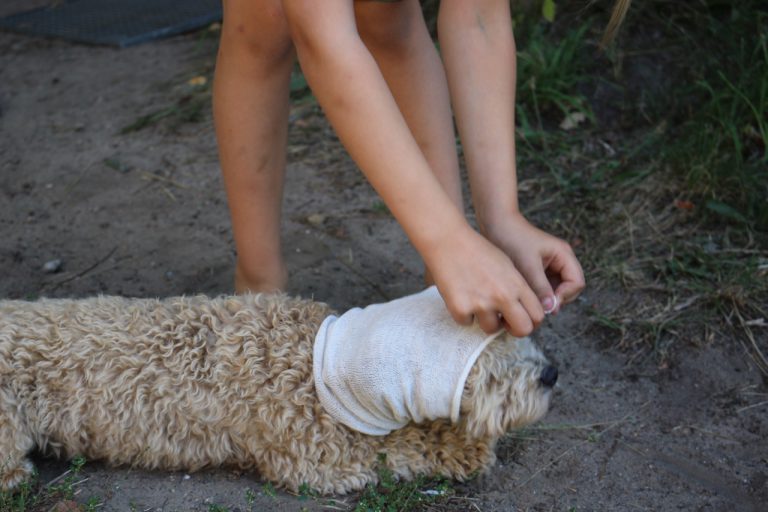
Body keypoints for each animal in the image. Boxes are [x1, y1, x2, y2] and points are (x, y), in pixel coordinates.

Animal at [0, 292, 556, 496]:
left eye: (516, 332)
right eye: (487, 371)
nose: (551, 373)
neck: (320, 362)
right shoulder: (317, 459)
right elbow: (400, 447)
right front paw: (467, 449)